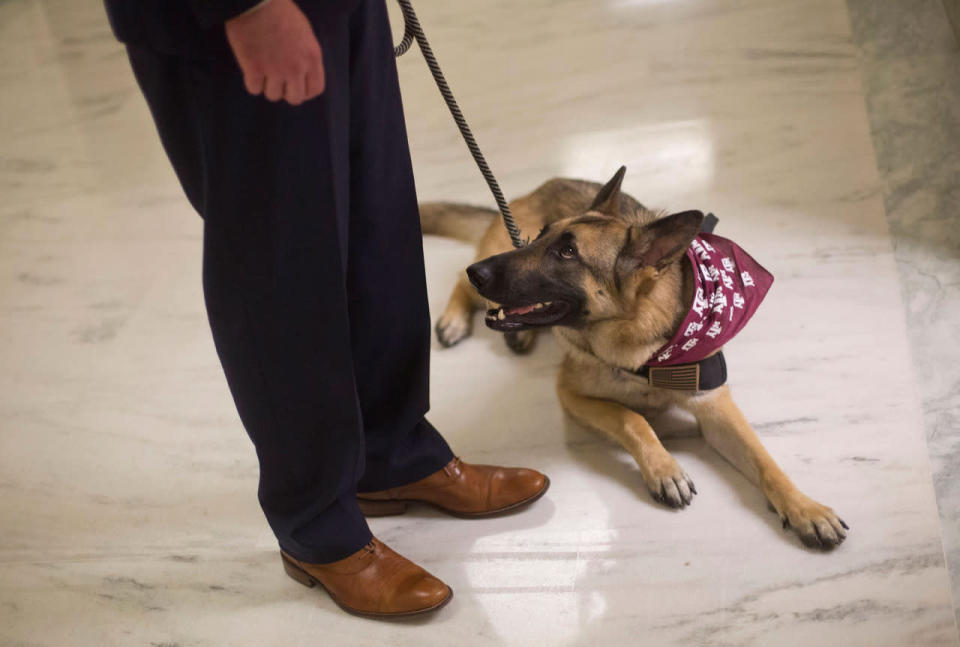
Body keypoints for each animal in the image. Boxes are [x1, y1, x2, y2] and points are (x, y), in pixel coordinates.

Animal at [420, 168, 848, 552]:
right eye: (541, 237)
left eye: (567, 252)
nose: (480, 272)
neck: (646, 350)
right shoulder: (571, 394)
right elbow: (632, 418)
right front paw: (665, 468)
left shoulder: (714, 406)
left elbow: (765, 461)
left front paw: (806, 508)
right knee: (461, 283)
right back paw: (455, 318)